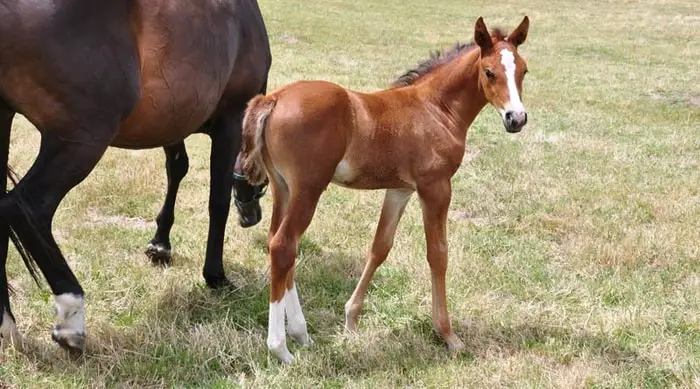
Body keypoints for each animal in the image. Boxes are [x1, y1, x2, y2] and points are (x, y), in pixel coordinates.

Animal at [0, 0, 270, 352]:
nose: (252, 217)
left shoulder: (172, 119)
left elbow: (177, 168)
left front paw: (160, 244)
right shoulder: (230, 119)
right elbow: (217, 200)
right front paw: (216, 276)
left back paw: (7, 324)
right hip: (82, 140)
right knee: (24, 207)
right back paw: (71, 317)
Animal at [242, 16, 532, 362]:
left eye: (524, 71)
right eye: (489, 72)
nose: (516, 118)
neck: (436, 109)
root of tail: (272, 99)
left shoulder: (400, 190)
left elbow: (380, 247)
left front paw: (351, 319)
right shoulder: (435, 187)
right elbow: (438, 254)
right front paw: (448, 335)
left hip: (282, 188)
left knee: (277, 243)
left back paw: (301, 333)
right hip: (308, 189)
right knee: (284, 246)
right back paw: (281, 348)